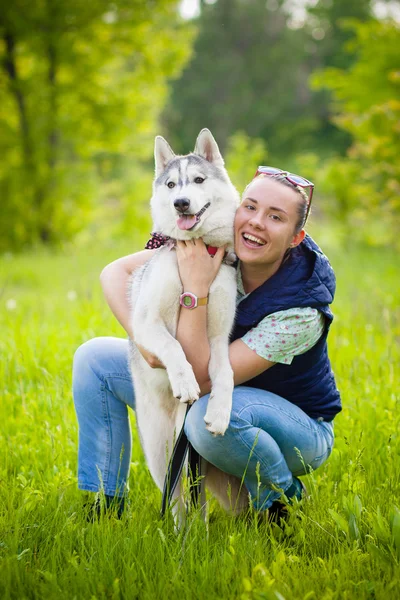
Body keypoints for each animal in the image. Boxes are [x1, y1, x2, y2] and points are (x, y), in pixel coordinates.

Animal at [129, 127, 247, 516]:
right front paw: (184, 381)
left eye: (198, 180)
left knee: (196, 499)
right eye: (170, 184)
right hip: (159, 452)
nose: (181, 202)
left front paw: (220, 413)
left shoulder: (218, 340)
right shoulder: (146, 324)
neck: (198, 248)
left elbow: (224, 374)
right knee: (178, 500)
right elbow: (173, 346)